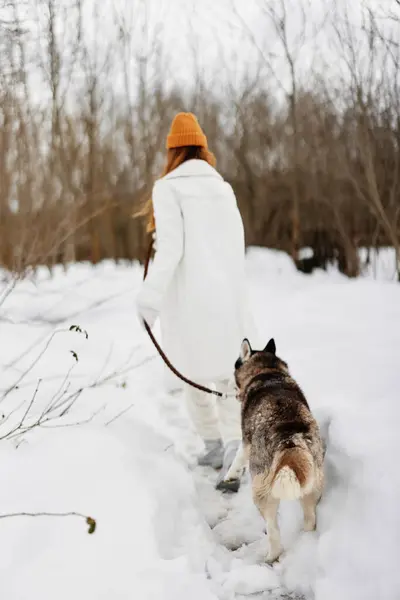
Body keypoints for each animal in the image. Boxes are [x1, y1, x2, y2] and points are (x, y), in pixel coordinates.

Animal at [223, 340, 324, 564]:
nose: (229, 386)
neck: (267, 371)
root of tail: (289, 439)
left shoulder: (246, 441)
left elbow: (237, 458)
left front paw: (230, 475)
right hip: (312, 482)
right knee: (310, 519)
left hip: (261, 493)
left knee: (273, 530)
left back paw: (270, 556)